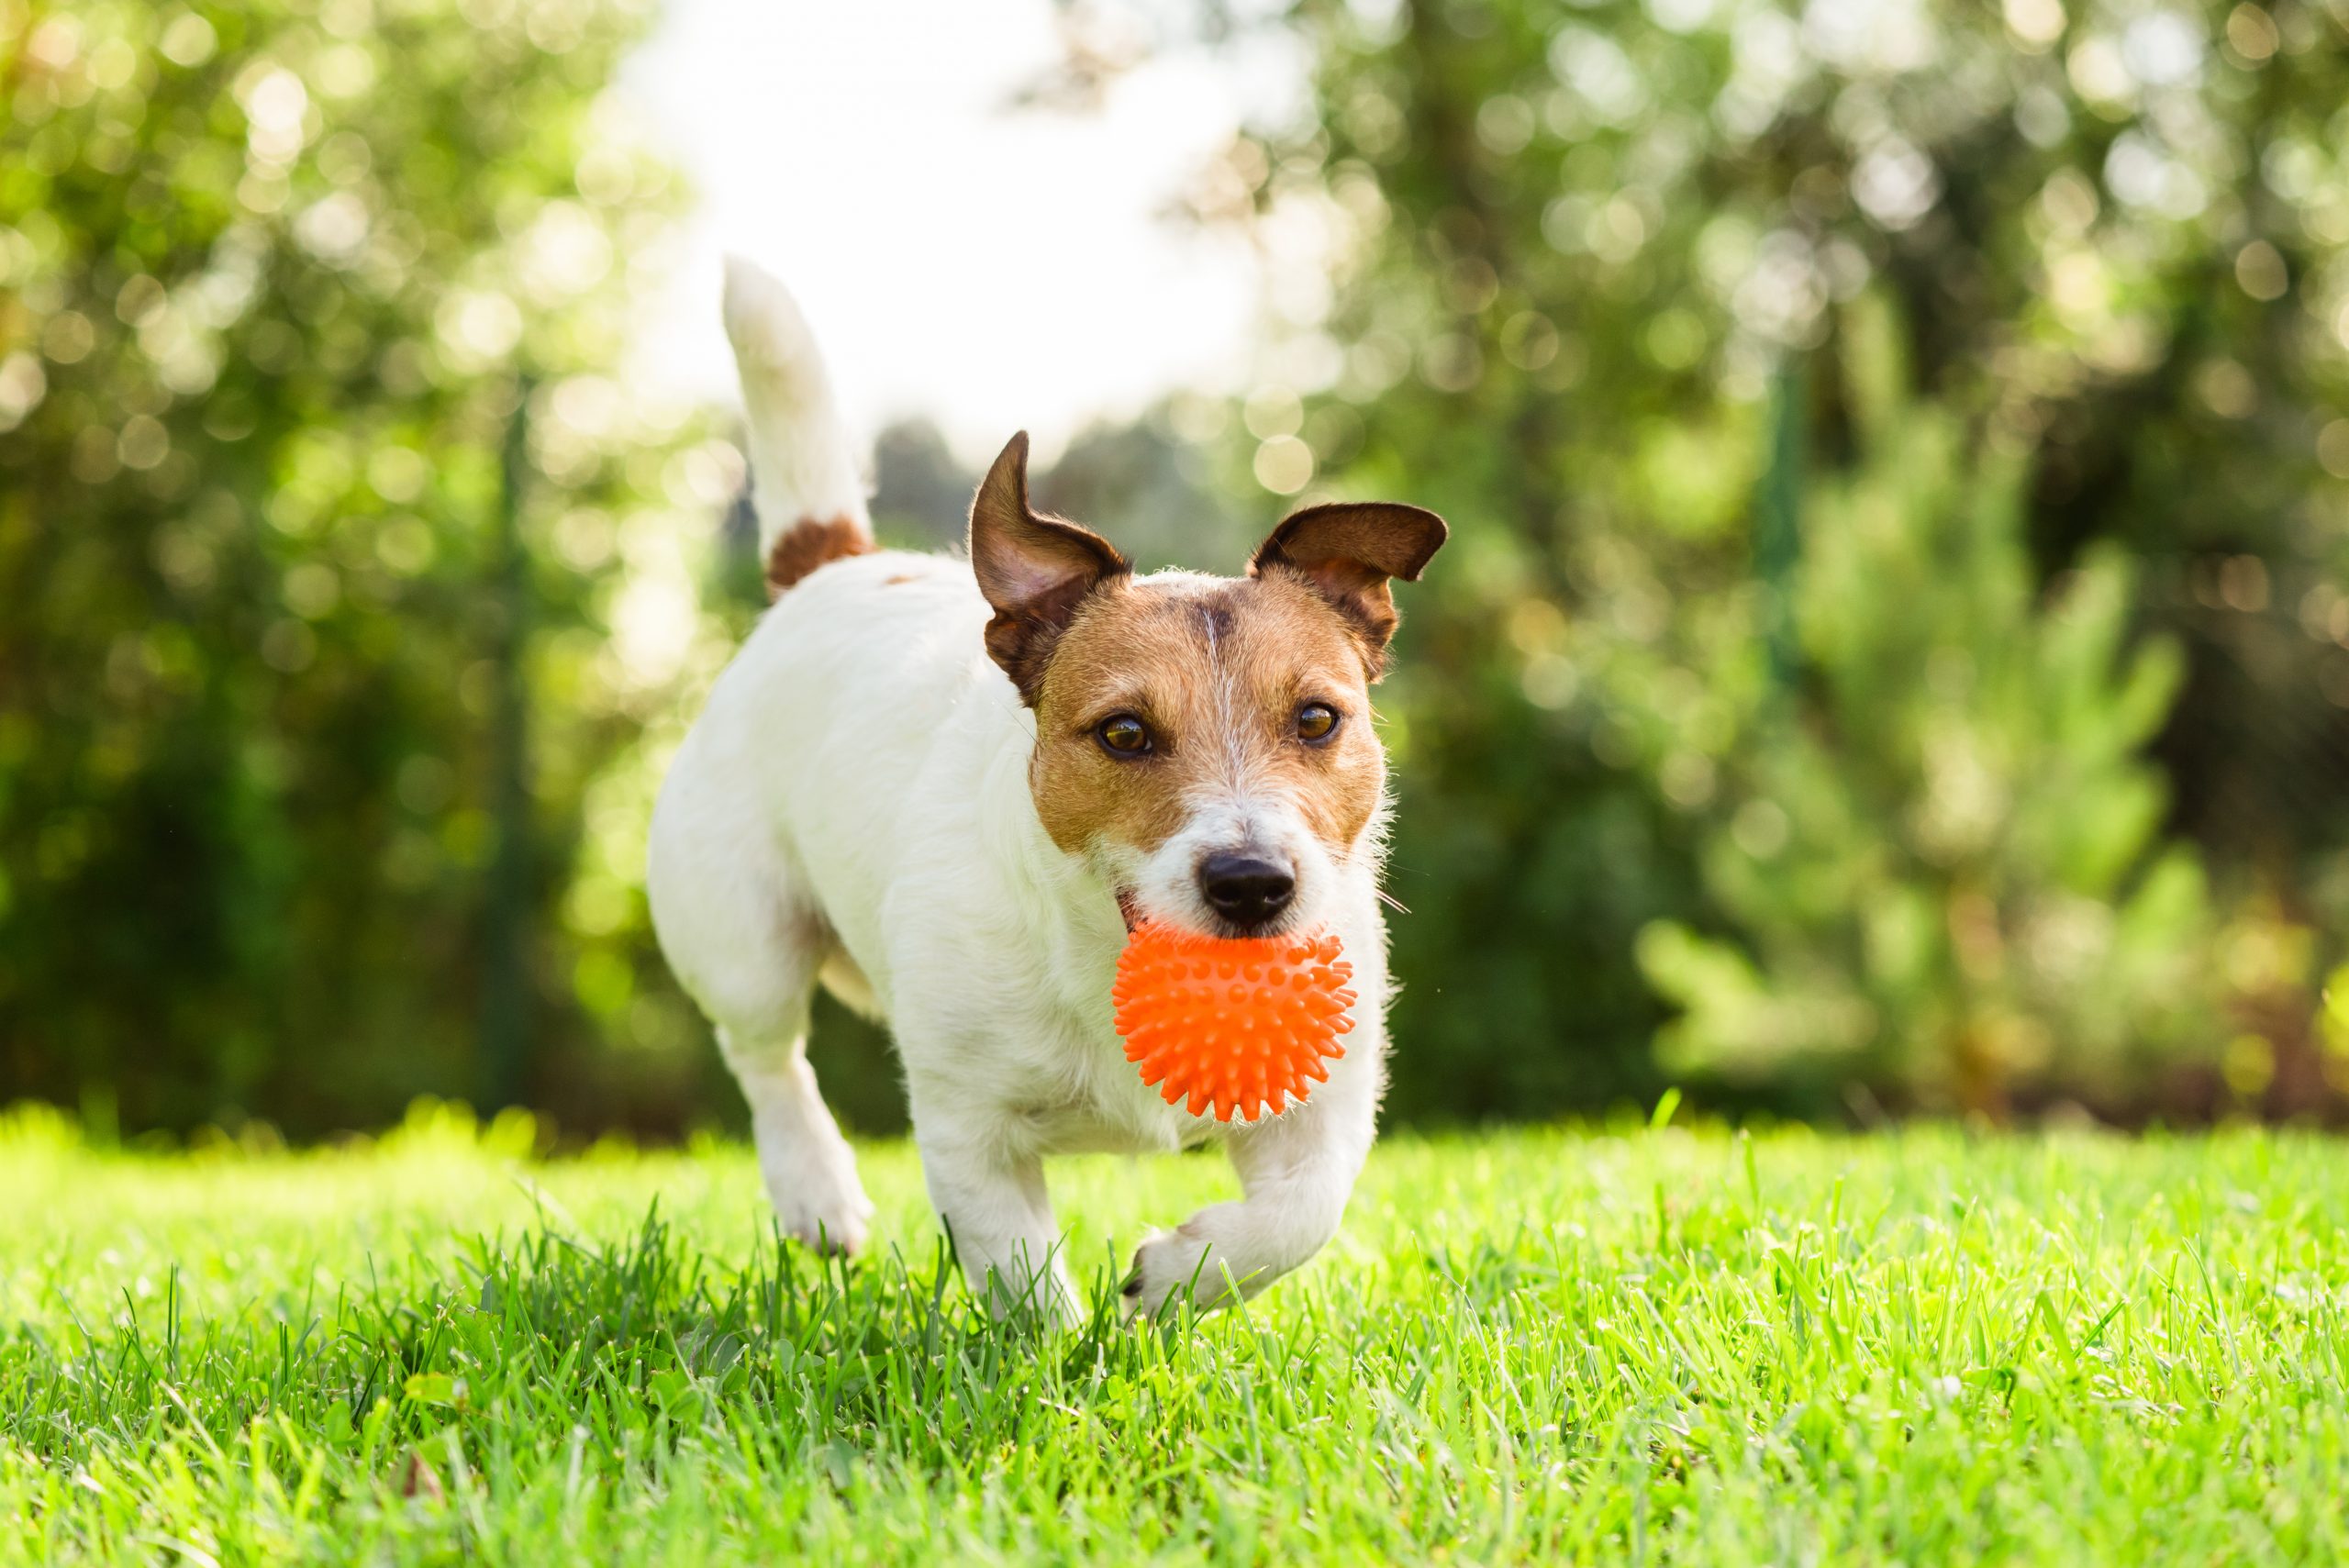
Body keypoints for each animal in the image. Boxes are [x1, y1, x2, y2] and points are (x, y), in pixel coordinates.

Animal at [648, 260, 1446, 1323]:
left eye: (1318, 719)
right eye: (1124, 732)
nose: (1252, 883)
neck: (1100, 951)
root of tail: (832, 569)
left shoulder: (1325, 1104)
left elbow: (1299, 1215)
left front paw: (1178, 1273)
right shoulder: (967, 1125)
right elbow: (1021, 1274)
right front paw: (1067, 1351)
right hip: (742, 936)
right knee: (768, 1057)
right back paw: (816, 1190)